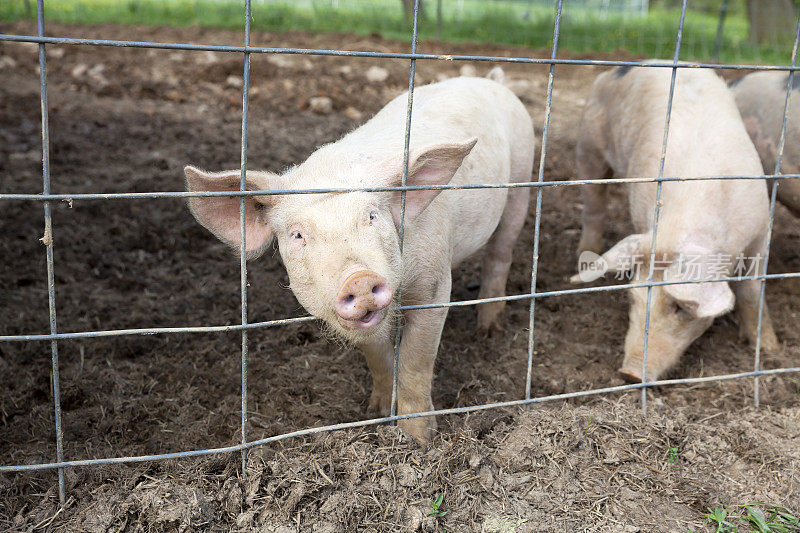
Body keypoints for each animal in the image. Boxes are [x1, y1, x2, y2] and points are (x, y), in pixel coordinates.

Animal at [181, 72, 532, 442]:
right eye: (297, 235)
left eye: (372, 216)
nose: (359, 279)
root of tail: (489, 80)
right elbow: (378, 357)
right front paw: (377, 413)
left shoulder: (435, 283)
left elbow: (416, 361)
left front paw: (418, 439)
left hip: (522, 181)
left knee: (501, 254)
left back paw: (489, 330)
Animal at [572, 64, 780, 382]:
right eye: (633, 298)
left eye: (679, 308)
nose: (629, 373)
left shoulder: (760, 227)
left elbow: (753, 290)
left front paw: (768, 349)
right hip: (588, 142)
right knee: (593, 206)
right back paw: (582, 261)